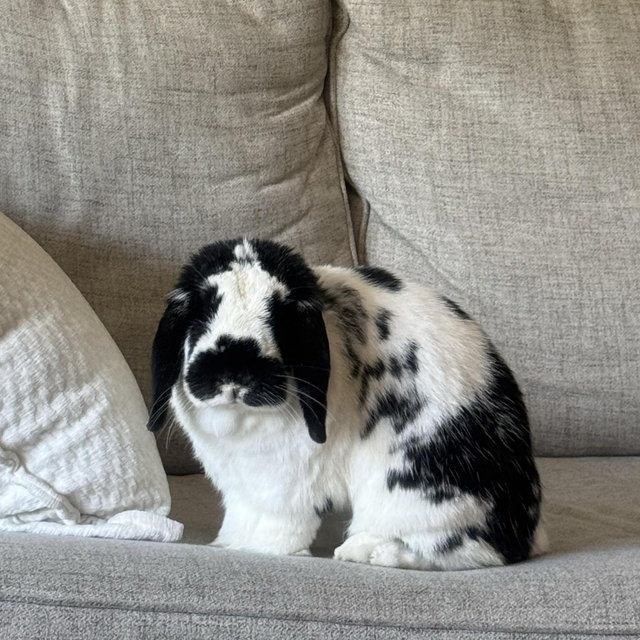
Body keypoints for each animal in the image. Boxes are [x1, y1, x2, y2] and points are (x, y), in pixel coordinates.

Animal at [148, 237, 546, 570]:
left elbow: (282, 522)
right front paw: (229, 544)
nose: (233, 372)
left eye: (283, 317)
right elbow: (242, 515)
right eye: (200, 311)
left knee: (462, 551)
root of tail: (523, 534)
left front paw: (265, 550)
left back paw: (366, 552)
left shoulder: (287, 483)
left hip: (414, 494)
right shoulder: (241, 485)